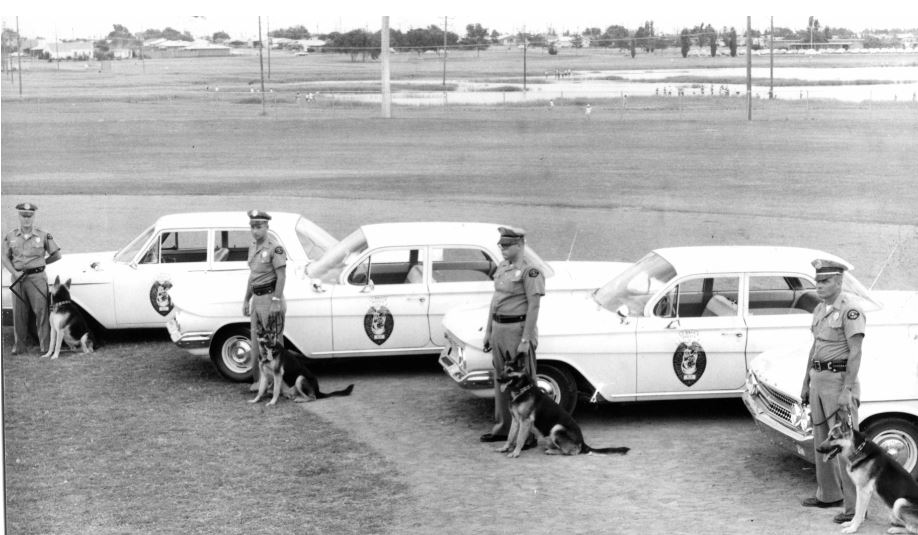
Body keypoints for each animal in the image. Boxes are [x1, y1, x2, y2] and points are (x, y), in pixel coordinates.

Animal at [496, 368, 632, 460]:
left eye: (510, 371)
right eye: (503, 369)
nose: (497, 379)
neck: (521, 391)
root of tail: (582, 442)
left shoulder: (525, 421)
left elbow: (519, 438)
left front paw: (515, 452)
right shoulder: (515, 420)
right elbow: (510, 436)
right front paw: (505, 448)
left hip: (557, 428)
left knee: (572, 451)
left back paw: (552, 451)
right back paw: (551, 449)